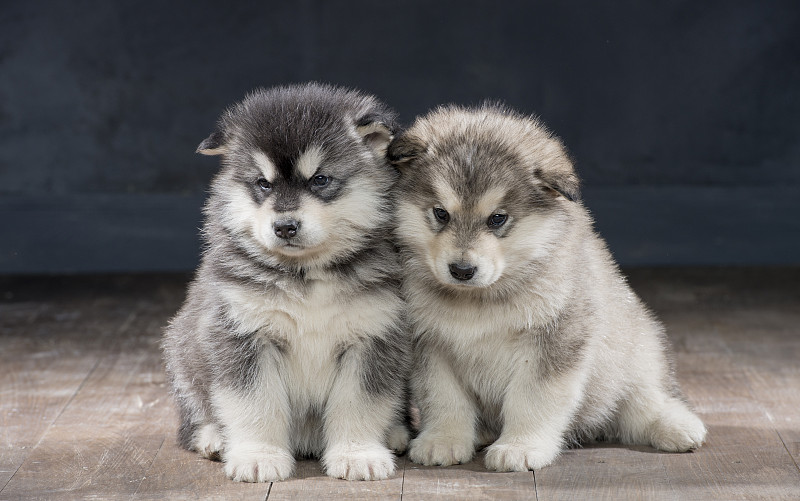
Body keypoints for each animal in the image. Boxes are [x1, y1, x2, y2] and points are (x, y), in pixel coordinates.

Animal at [164, 84, 412, 482]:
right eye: (262, 184)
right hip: (182, 353)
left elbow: (359, 404)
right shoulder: (242, 336)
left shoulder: (373, 336)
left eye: (320, 179)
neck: (306, 274)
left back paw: (395, 433)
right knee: (194, 415)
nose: (284, 227)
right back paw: (213, 437)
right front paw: (258, 456)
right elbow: (255, 404)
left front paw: (358, 454)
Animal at [390, 103, 708, 470]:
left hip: (633, 357)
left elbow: (532, 399)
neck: (478, 301)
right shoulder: (430, 344)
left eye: (497, 218)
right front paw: (443, 440)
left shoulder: (555, 339)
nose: (462, 270)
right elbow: (443, 398)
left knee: (642, 400)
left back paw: (676, 425)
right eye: (441, 214)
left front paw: (521, 446)